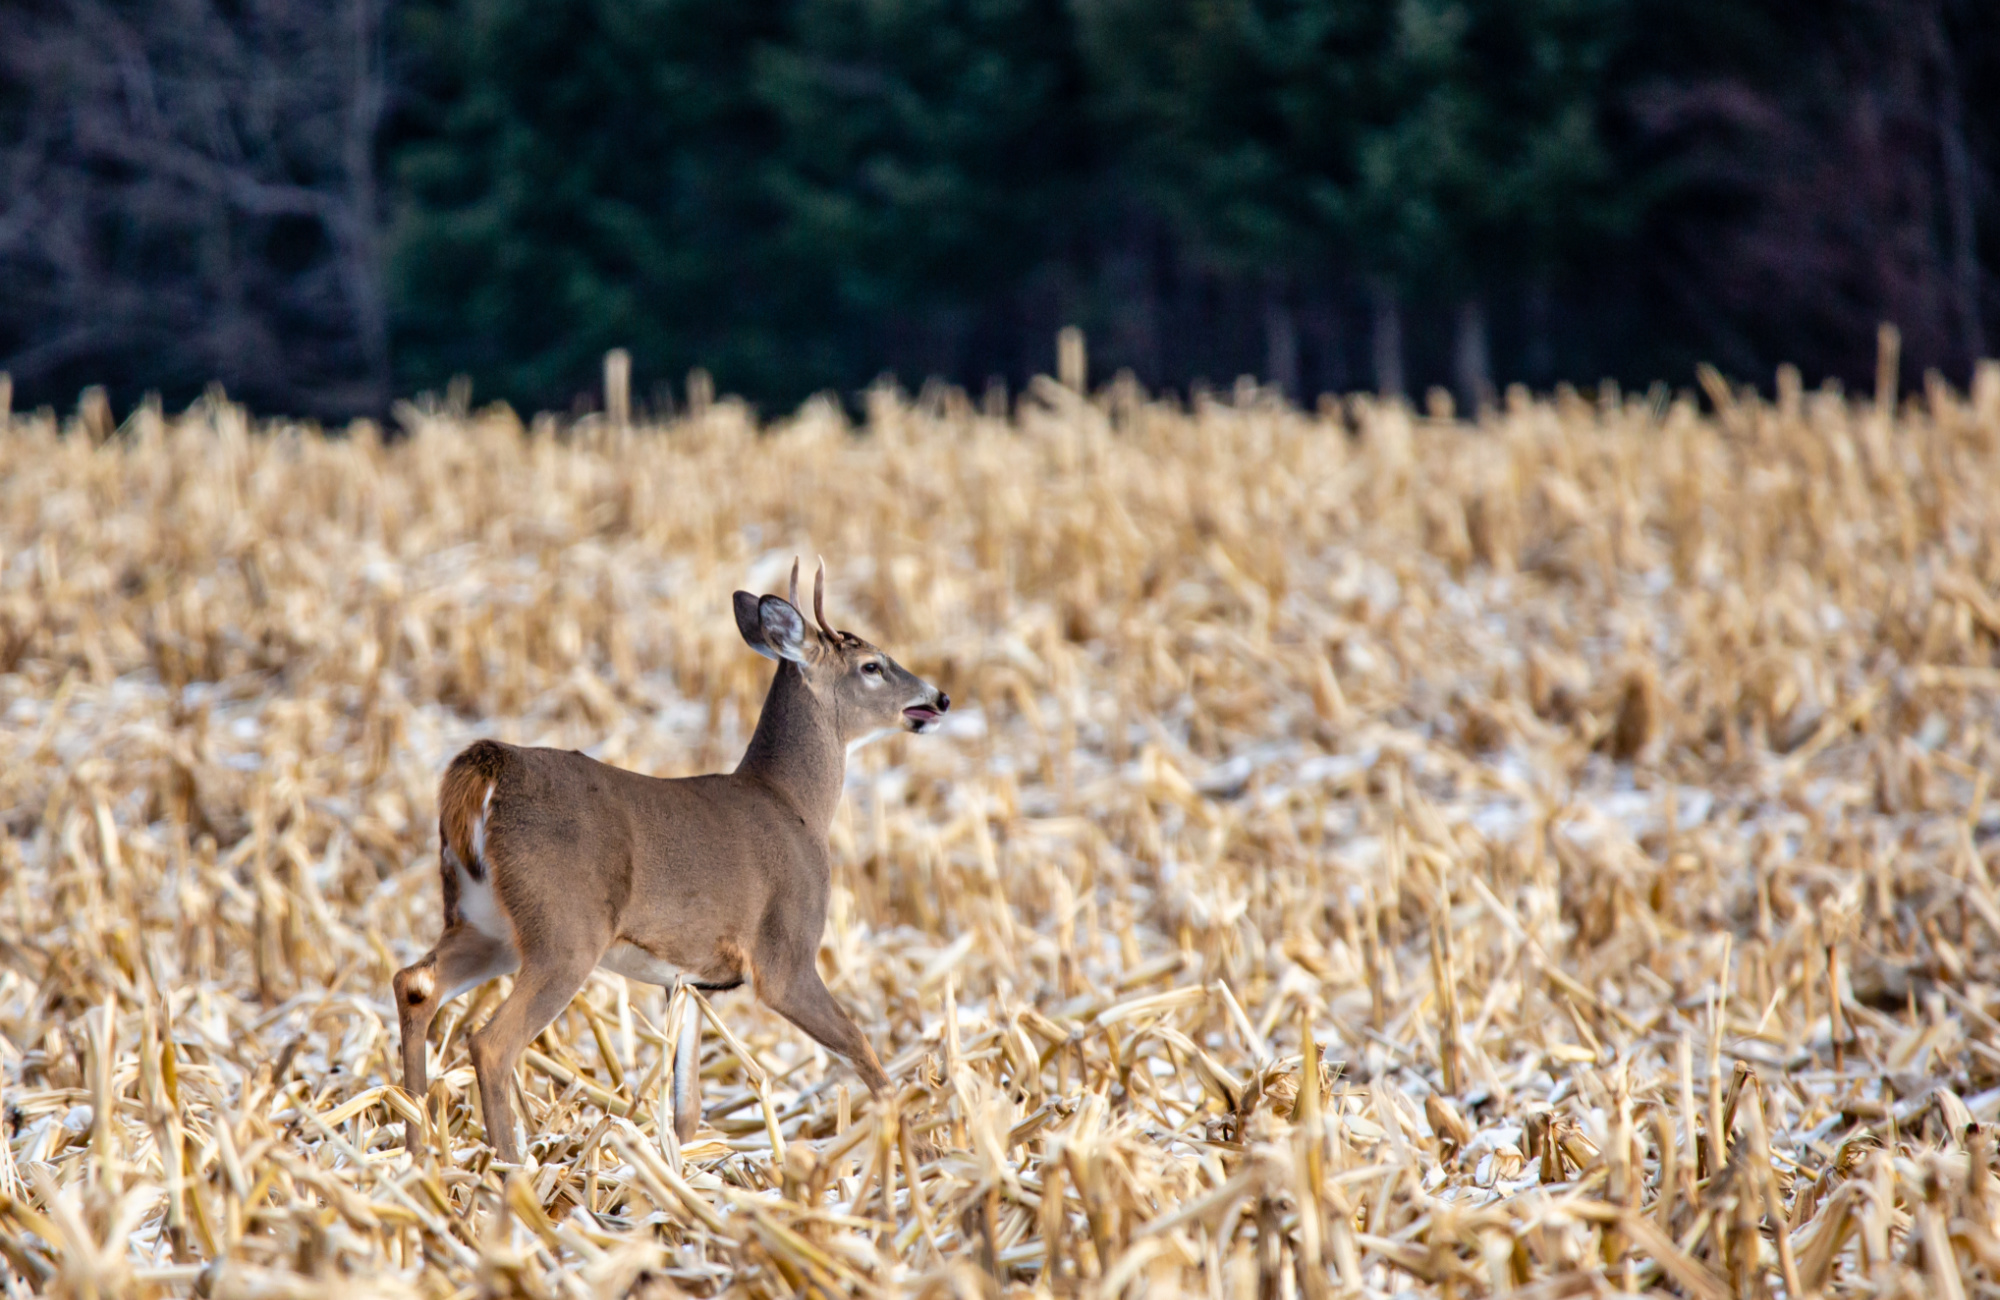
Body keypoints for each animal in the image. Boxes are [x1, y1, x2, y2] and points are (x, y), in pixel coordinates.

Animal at [396, 556, 952, 1152]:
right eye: (872, 665)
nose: (940, 698)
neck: (794, 804)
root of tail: (485, 767)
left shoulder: (686, 979)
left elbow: (686, 1106)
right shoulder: (785, 953)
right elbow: (863, 1050)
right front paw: (917, 1147)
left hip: (483, 920)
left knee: (415, 984)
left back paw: (419, 1148)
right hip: (565, 928)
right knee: (492, 1042)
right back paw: (510, 1165)